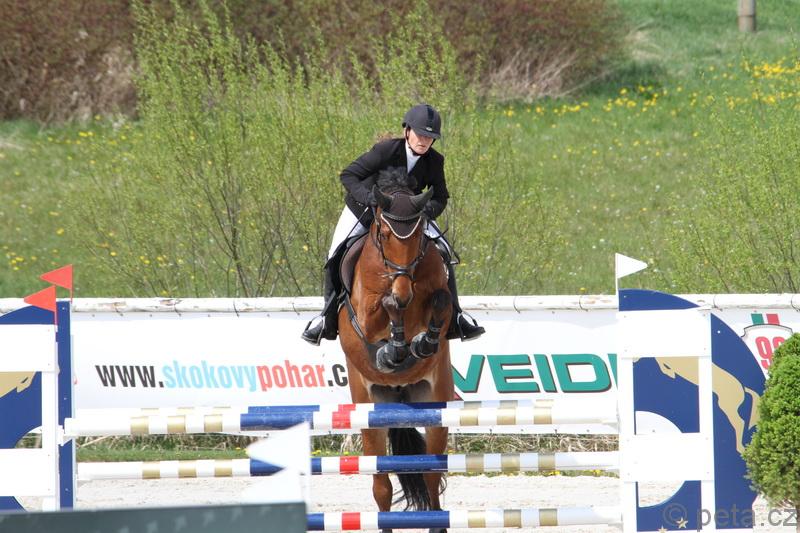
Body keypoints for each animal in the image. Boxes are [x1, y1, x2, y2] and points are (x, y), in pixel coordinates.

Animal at [338, 168, 454, 533]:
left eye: (417, 239)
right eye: (386, 235)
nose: (404, 289)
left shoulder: (436, 292)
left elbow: (441, 300)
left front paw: (422, 342)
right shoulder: (366, 315)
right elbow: (387, 307)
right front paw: (393, 349)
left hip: (435, 404)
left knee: (431, 475)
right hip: (369, 407)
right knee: (381, 484)